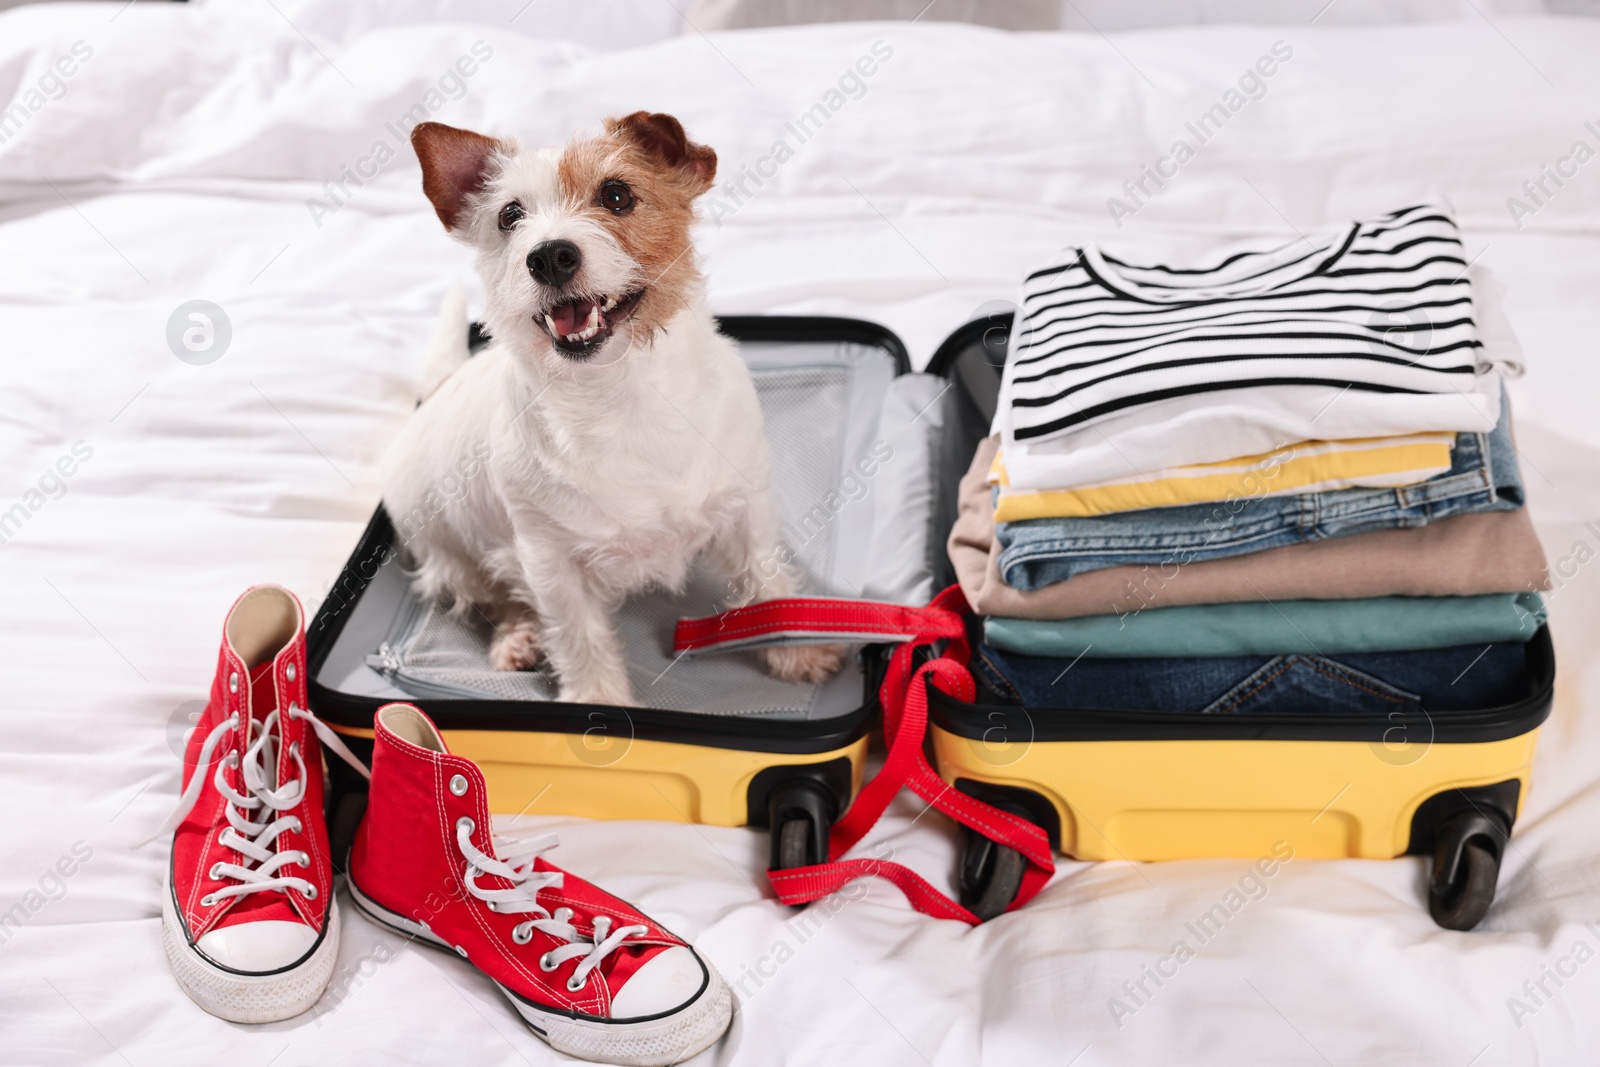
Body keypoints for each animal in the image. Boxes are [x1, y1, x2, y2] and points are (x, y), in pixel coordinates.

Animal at [382, 115, 851, 710]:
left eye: (617, 195)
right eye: (509, 216)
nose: (548, 256)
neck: (623, 396)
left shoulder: (746, 512)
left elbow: (766, 588)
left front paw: (798, 649)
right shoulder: (551, 563)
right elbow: (579, 637)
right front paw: (598, 702)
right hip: (458, 559)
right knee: (499, 594)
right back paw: (519, 636)